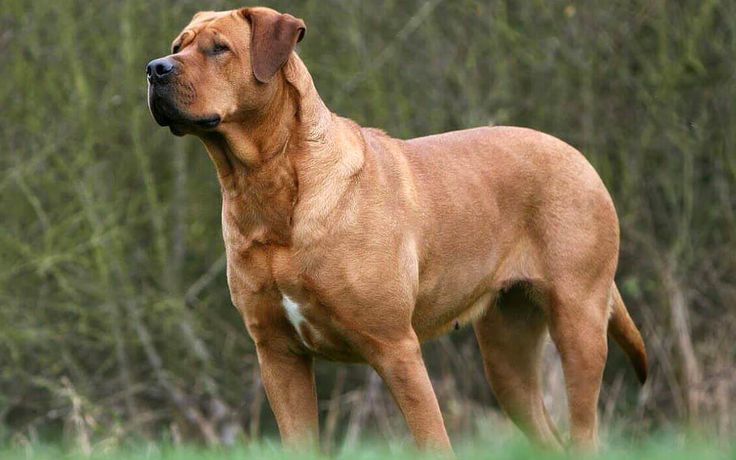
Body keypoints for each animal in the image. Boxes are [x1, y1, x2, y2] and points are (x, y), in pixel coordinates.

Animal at [147, 6, 648, 452]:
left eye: (218, 48)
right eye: (176, 46)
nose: (154, 69)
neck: (263, 187)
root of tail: (580, 158)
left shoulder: (396, 347)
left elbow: (433, 439)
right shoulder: (278, 354)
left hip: (579, 322)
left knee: (584, 432)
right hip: (507, 353)